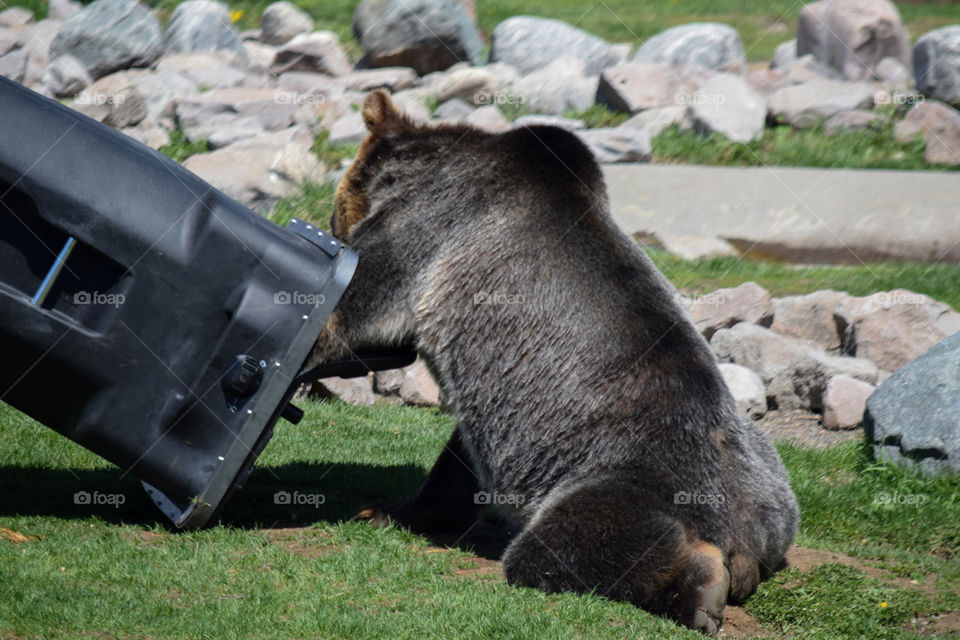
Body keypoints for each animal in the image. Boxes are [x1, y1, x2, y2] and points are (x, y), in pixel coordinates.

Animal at [312, 90, 800, 636]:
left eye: (335, 210)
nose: (331, 222)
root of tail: (747, 540)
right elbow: (460, 461)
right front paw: (390, 509)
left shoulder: (431, 226)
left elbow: (351, 302)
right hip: (772, 480)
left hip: (625, 474)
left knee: (566, 544)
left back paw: (698, 589)